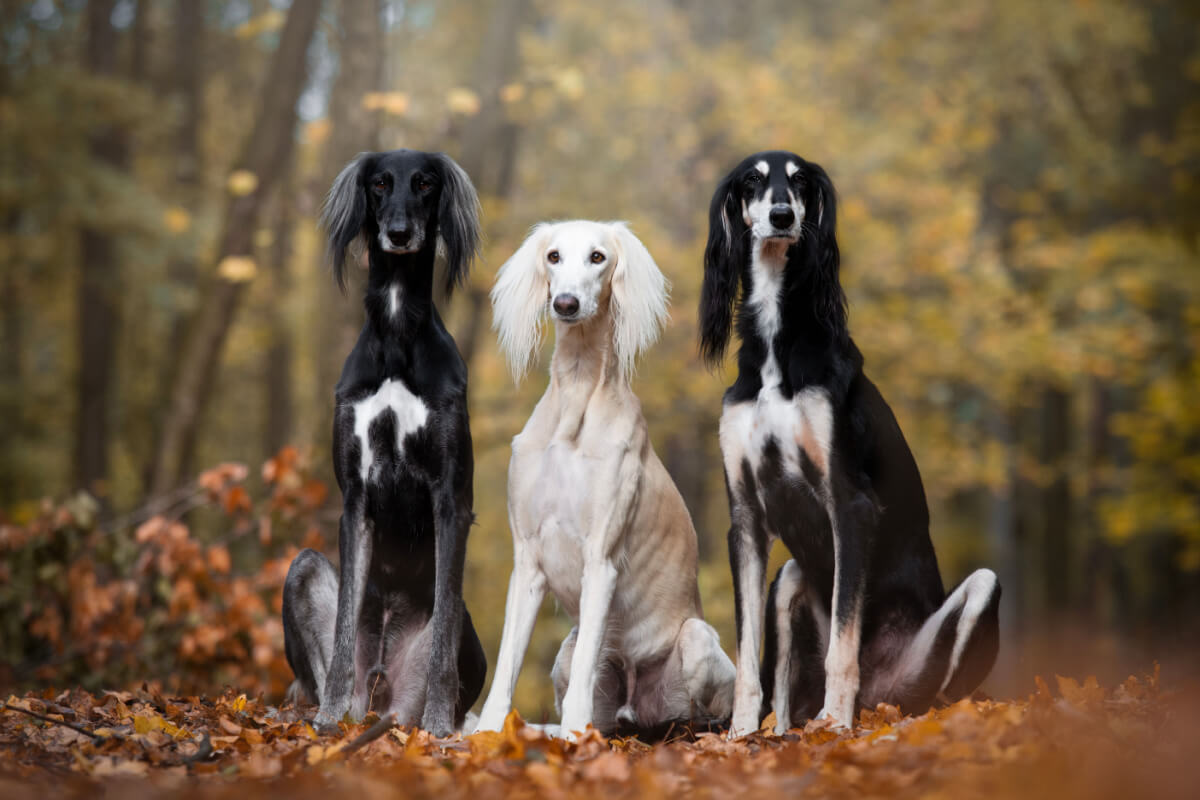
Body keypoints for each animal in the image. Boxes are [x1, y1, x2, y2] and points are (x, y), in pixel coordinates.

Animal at [283, 149, 484, 738]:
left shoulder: (451, 499)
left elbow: (442, 640)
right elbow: (346, 622)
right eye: (378, 184)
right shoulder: (354, 498)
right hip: (303, 567)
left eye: (425, 183)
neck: (397, 336)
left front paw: (439, 723)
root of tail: (379, 698)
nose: (398, 233)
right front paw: (327, 716)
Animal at [472, 221, 734, 743]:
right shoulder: (527, 559)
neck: (576, 396)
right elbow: (507, 663)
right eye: (553, 256)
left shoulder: (601, 558)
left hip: (696, 643)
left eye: (598, 257)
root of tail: (638, 708)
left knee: (702, 716)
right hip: (567, 654)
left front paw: (575, 736)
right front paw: (489, 733)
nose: (566, 303)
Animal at [700, 151, 998, 738]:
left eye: (798, 180)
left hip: (972, 602)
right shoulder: (745, 517)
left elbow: (844, 640)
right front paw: (739, 734)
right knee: (785, 690)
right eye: (751, 180)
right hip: (788, 579)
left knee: (940, 695)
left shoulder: (850, 504)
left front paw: (833, 723)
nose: (783, 216)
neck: (777, 352)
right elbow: (747, 655)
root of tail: (881, 701)